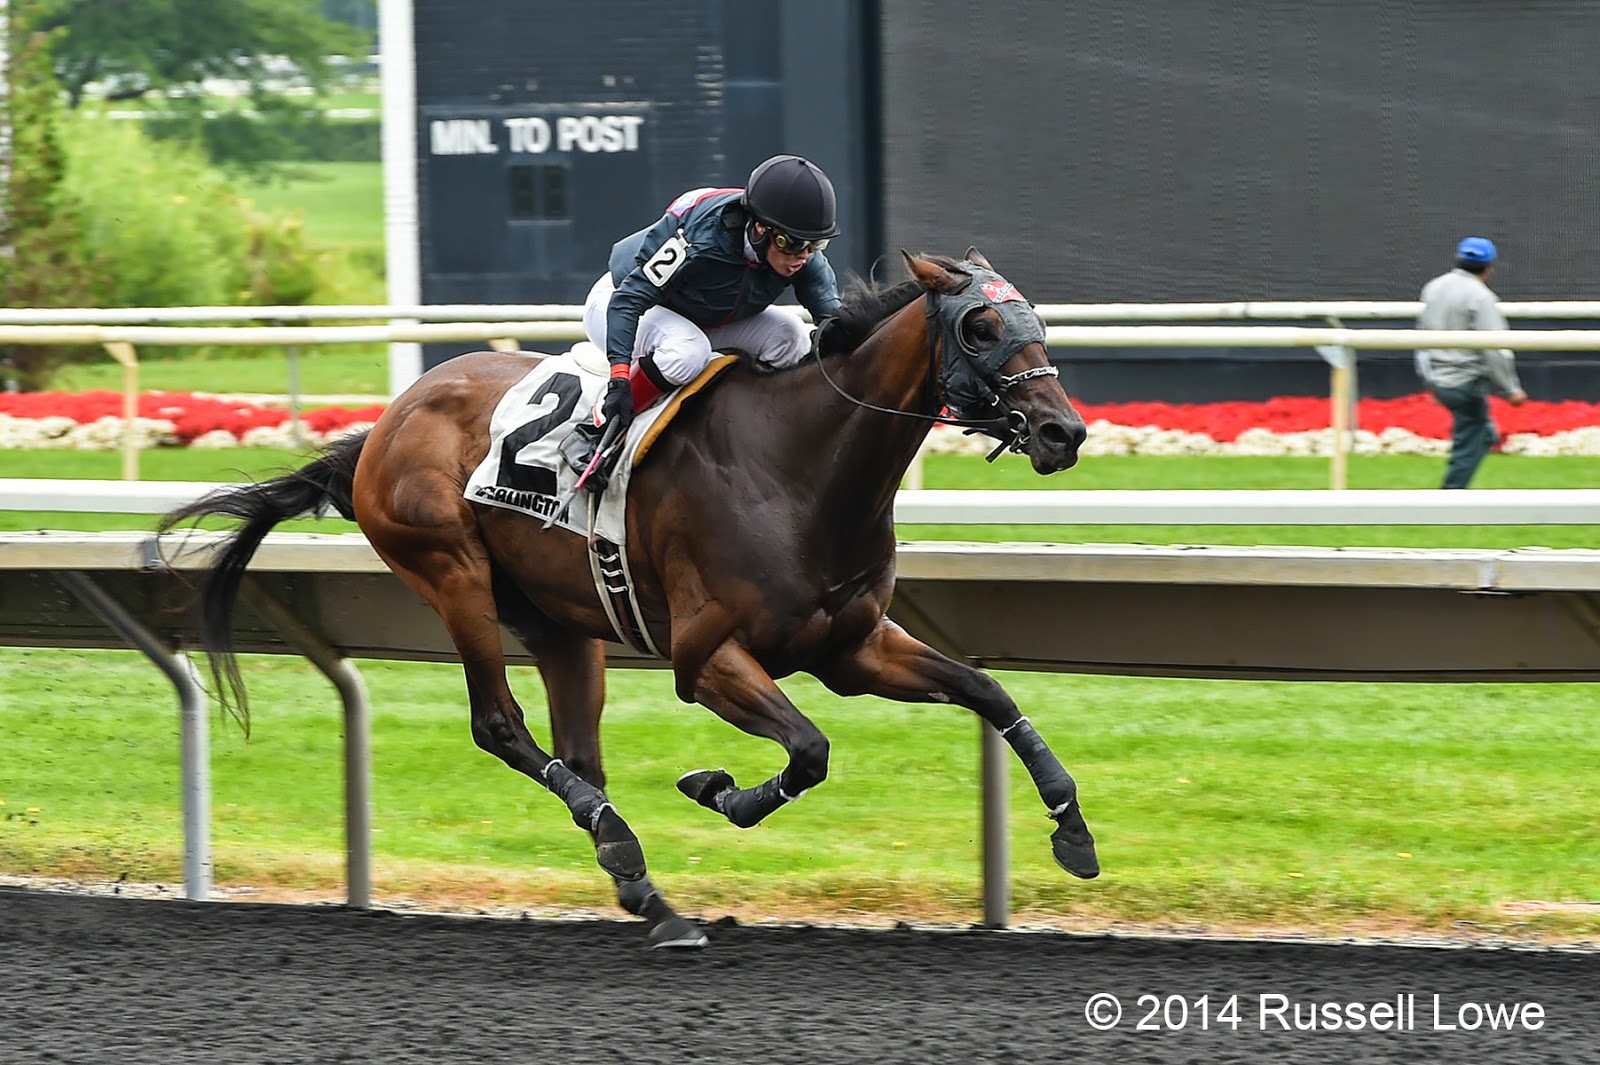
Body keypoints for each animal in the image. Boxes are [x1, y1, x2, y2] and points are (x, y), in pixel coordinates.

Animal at [160, 249, 1097, 948]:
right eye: (980, 325)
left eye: (1034, 319)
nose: (1065, 431)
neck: (801, 463)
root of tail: (387, 420)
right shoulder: (705, 656)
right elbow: (809, 749)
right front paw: (718, 788)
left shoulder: (852, 646)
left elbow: (986, 689)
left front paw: (1071, 828)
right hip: (450, 570)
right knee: (499, 724)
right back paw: (620, 842)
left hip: (560, 621)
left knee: (578, 749)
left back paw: (647, 890)